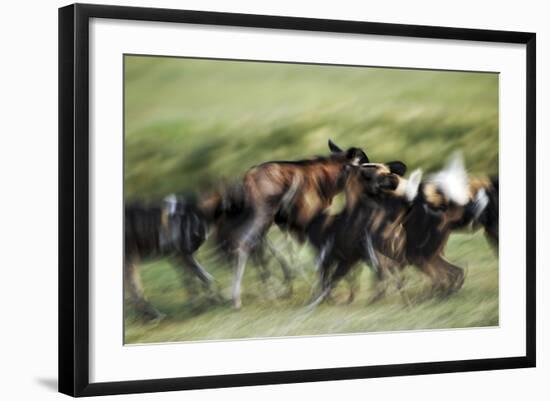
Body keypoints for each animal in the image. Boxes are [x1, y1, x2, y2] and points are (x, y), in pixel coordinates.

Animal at [224, 139, 370, 308]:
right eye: (365, 162)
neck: (328, 178)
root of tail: (248, 176)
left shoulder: (287, 223)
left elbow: (290, 254)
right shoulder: (307, 222)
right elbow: (319, 256)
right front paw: (325, 293)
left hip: (264, 220)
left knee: (253, 247)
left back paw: (269, 291)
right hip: (263, 216)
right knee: (245, 244)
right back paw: (240, 299)